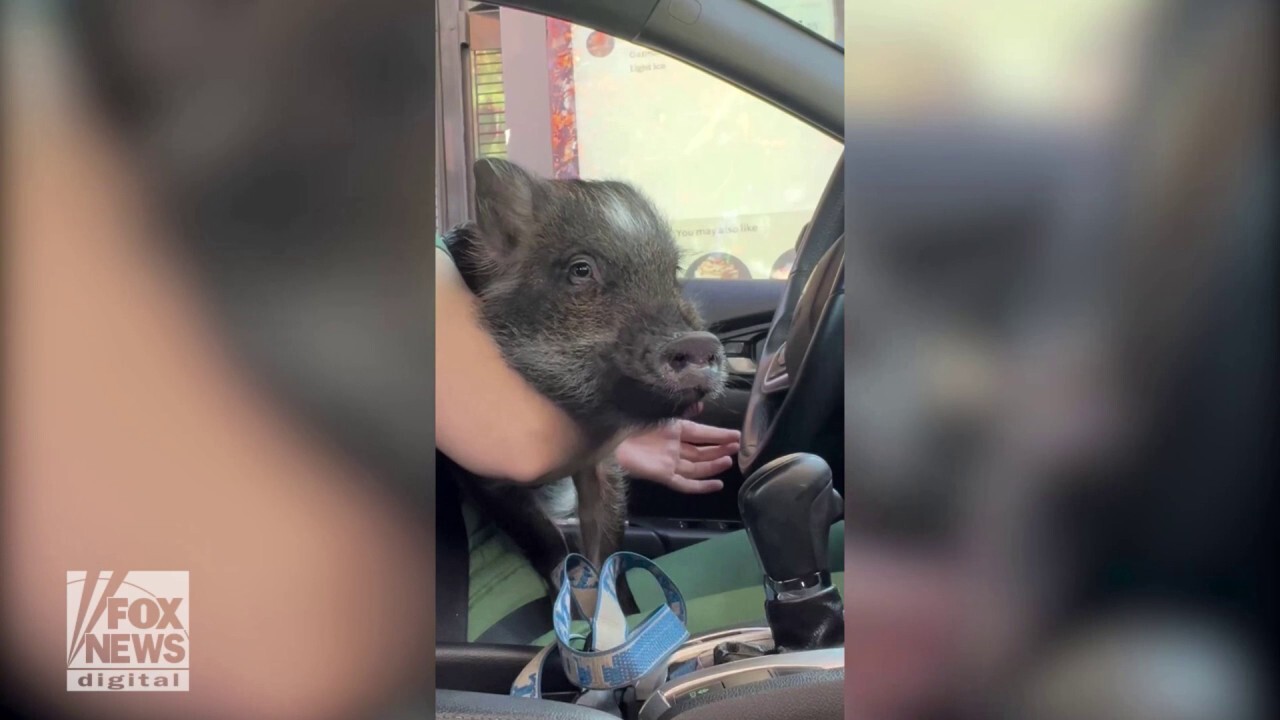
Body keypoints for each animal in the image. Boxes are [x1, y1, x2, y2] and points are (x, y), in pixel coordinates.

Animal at [440, 158, 727, 594]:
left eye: (674, 272)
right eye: (580, 269)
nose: (698, 341)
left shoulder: (603, 461)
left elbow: (609, 542)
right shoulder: (483, 469)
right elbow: (544, 538)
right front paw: (569, 586)